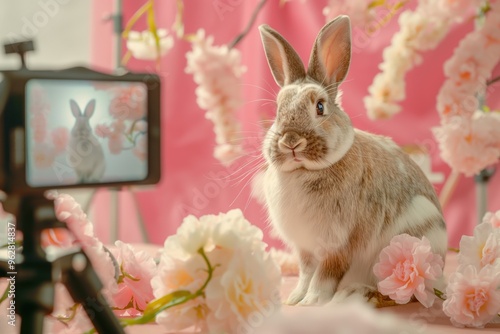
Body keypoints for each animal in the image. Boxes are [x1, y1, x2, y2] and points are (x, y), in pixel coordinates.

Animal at [256, 16, 448, 308]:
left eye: (320, 107)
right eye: (279, 109)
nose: (291, 140)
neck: (304, 172)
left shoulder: (339, 244)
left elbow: (324, 276)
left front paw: (312, 302)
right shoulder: (305, 249)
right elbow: (305, 273)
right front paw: (295, 299)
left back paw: (358, 294)